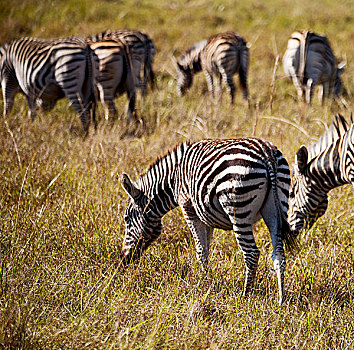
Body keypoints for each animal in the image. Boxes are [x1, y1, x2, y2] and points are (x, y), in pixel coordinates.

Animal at [120, 138, 294, 302]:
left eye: (126, 219)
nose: (123, 259)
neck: (174, 179)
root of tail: (266, 154)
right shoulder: (206, 215)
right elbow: (206, 250)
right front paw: (207, 280)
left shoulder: (188, 207)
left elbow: (200, 251)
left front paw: (201, 284)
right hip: (277, 207)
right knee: (278, 254)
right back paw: (281, 299)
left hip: (238, 209)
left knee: (251, 253)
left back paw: (246, 295)